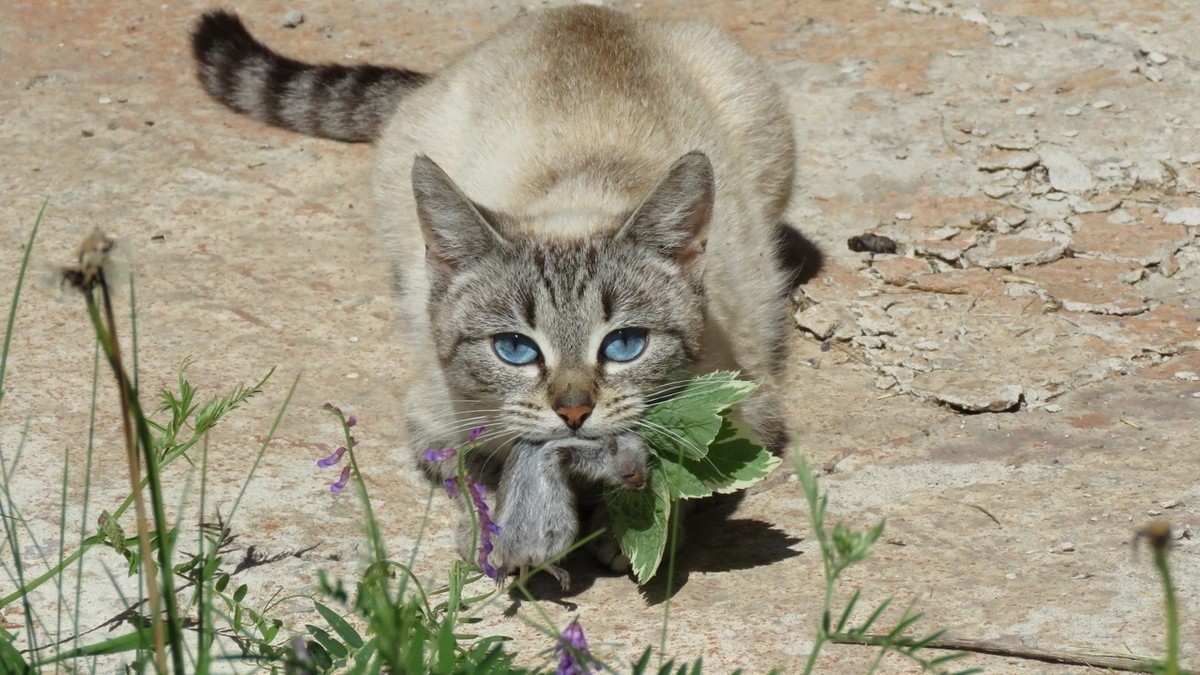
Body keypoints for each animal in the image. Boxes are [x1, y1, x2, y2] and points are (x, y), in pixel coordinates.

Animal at [192, 5, 801, 564]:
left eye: (625, 344)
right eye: (514, 349)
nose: (574, 414)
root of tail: (578, 12)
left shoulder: (748, 417)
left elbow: (687, 483)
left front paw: (624, 531)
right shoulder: (436, 426)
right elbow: (477, 475)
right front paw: (498, 533)